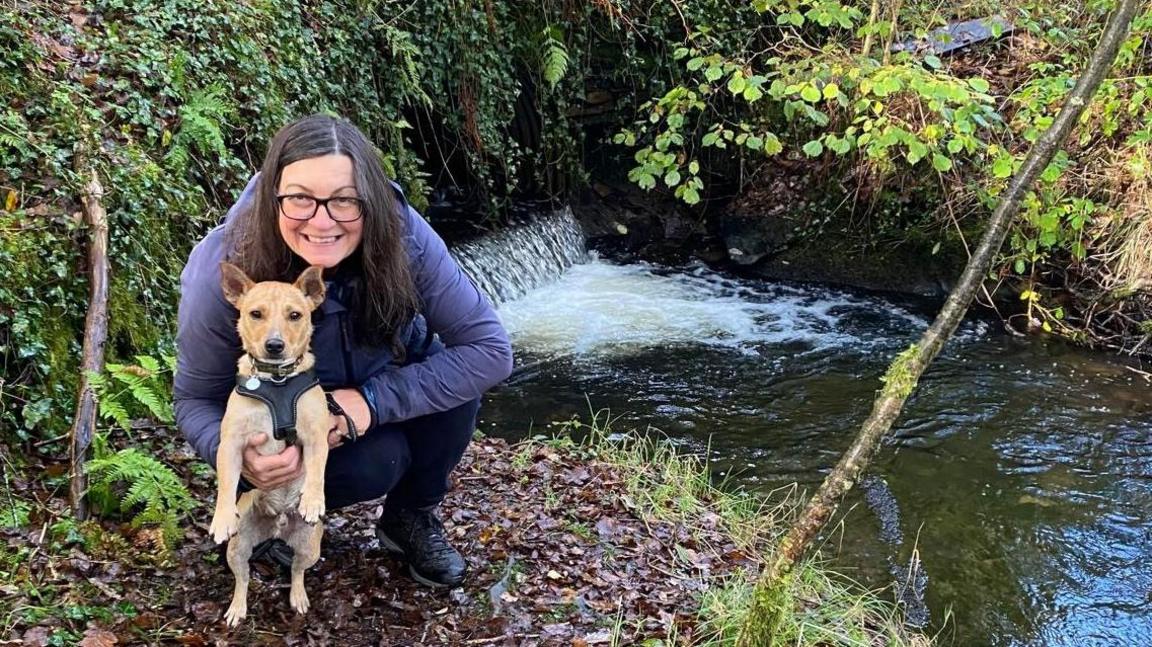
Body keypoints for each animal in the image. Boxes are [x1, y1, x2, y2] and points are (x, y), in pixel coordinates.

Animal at [208, 262, 329, 626]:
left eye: (295, 315)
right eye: (256, 314)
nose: (274, 345)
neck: (277, 381)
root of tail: (277, 525)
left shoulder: (317, 436)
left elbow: (317, 469)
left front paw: (313, 500)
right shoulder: (231, 445)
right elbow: (226, 482)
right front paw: (221, 517)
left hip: (310, 547)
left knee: (297, 572)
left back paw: (298, 597)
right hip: (237, 549)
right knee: (243, 579)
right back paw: (237, 608)